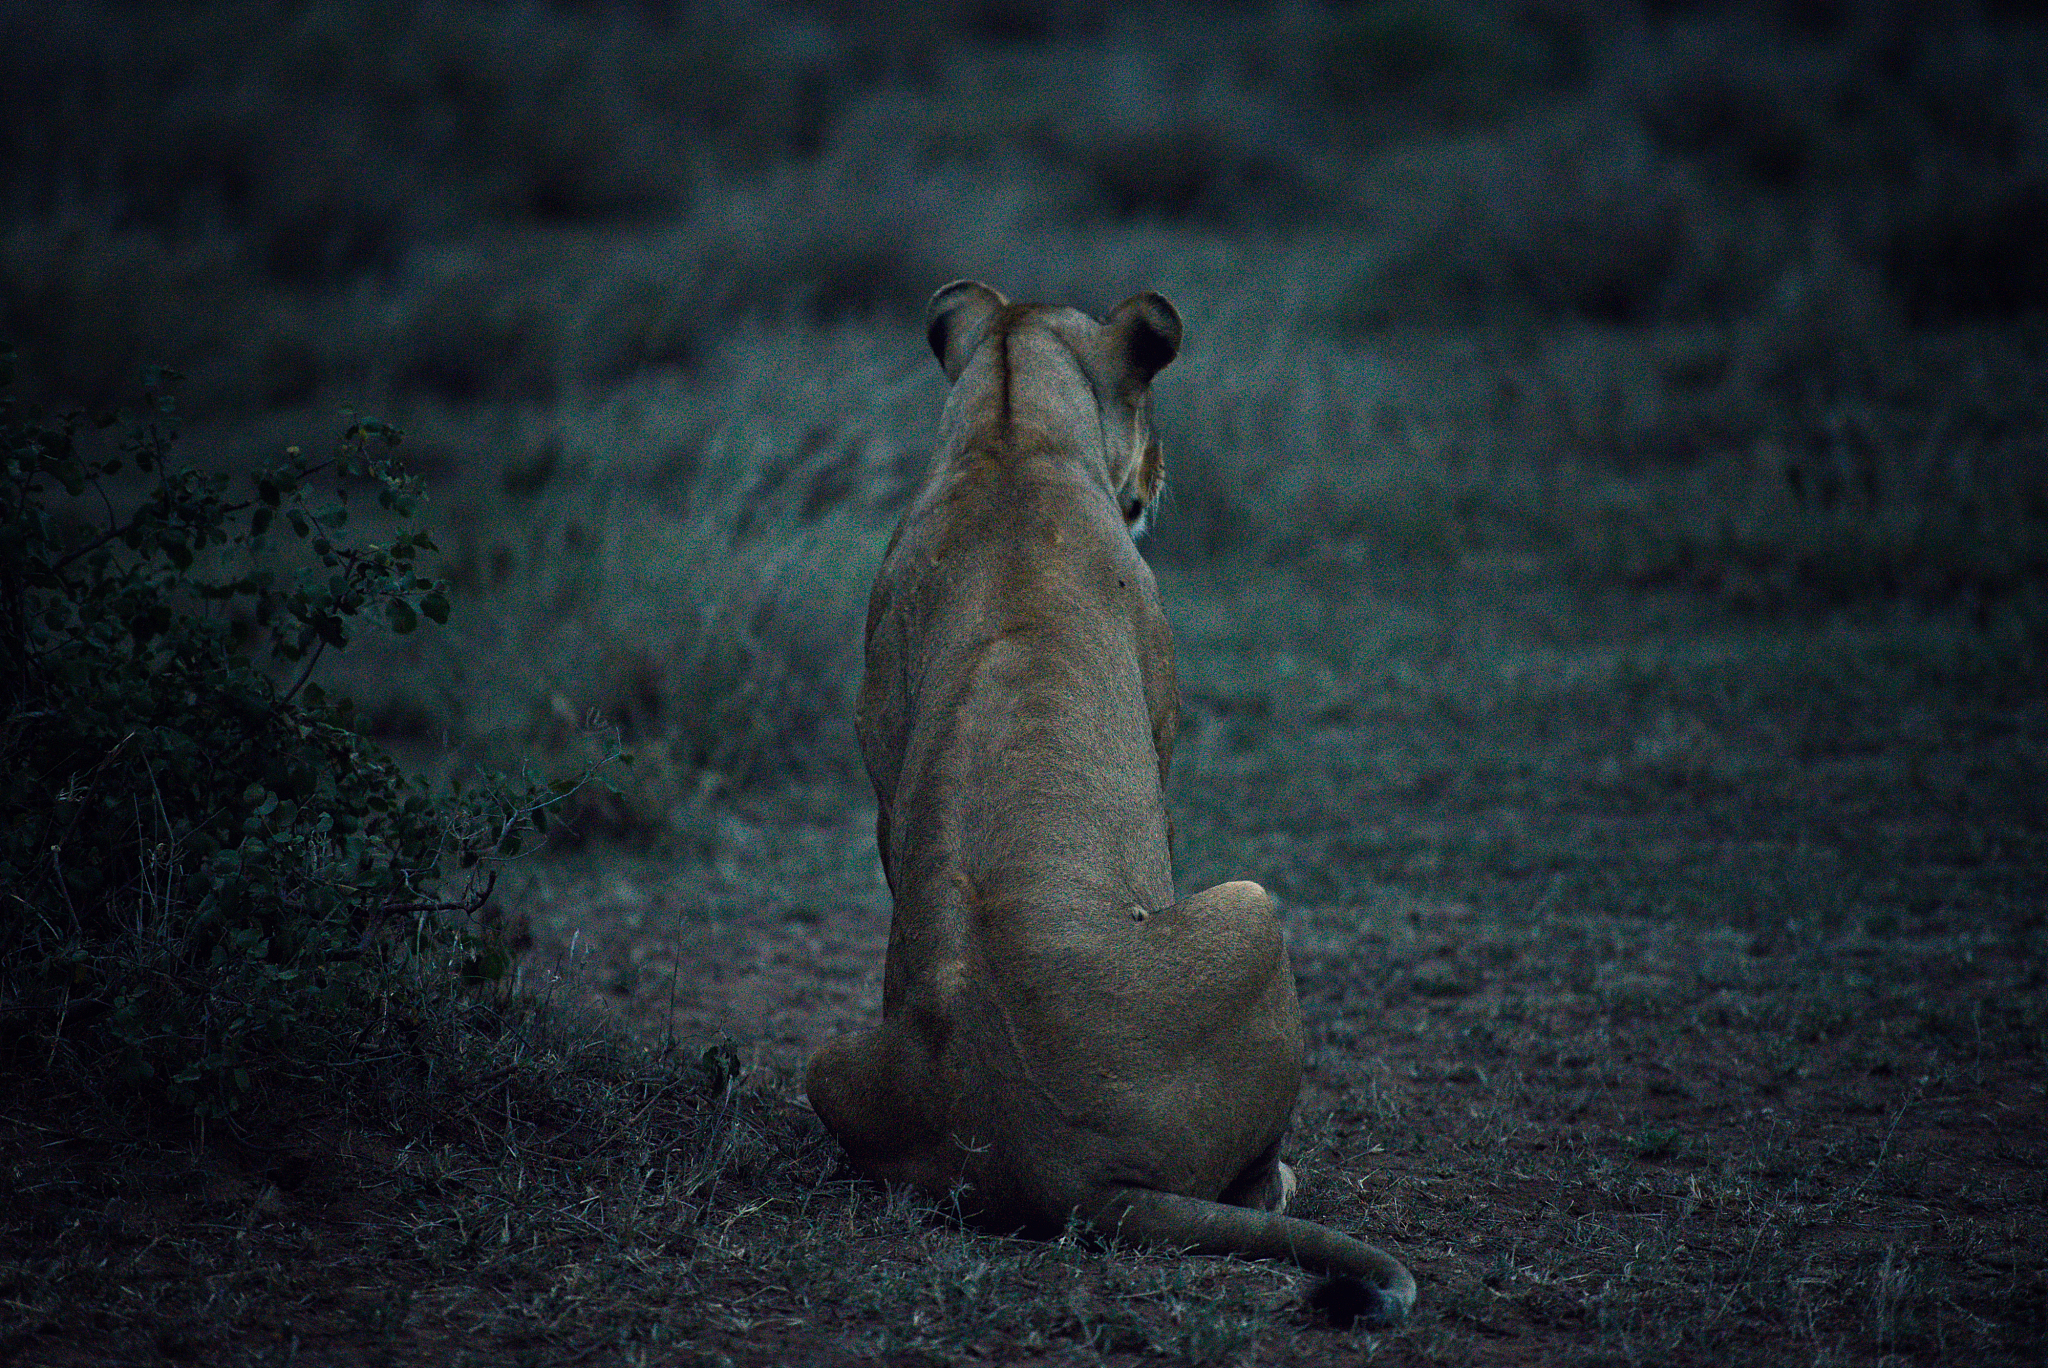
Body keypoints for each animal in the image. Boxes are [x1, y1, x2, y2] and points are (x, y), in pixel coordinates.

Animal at [805, 280, 1416, 1327]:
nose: (1161, 477)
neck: (1008, 434)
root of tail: (1068, 1173)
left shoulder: (879, 741)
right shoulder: (1161, 727)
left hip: (822, 1059)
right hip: (1253, 909)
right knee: (1251, 1183)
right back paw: (1281, 1181)